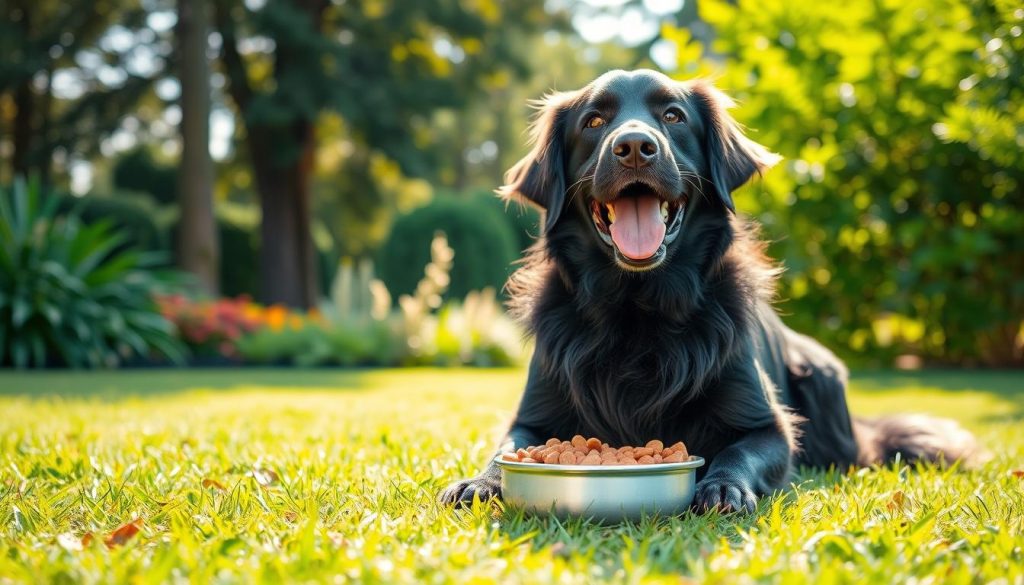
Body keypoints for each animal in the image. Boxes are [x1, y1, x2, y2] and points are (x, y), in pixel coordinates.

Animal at [438, 69, 983, 512]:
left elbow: (738, 451)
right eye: (593, 122)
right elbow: (505, 447)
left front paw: (723, 486)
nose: (633, 147)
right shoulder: (534, 416)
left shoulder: (770, 426)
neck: (638, 308)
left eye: (673, 116)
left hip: (821, 374)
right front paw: (479, 482)